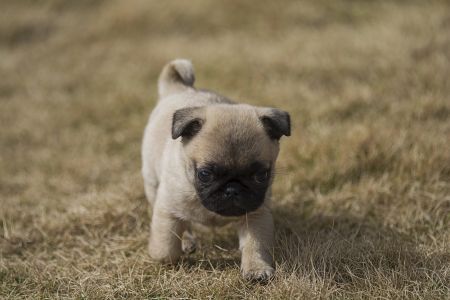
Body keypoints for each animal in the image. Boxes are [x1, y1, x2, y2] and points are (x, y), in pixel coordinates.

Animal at [142, 59, 292, 282]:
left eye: (260, 176)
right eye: (205, 174)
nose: (232, 189)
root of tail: (178, 89)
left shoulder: (256, 215)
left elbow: (255, 245)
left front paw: (257, 268)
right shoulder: (167, 209)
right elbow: (166, 246)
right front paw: (165, 258)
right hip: (152, 184)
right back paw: (187, 241)